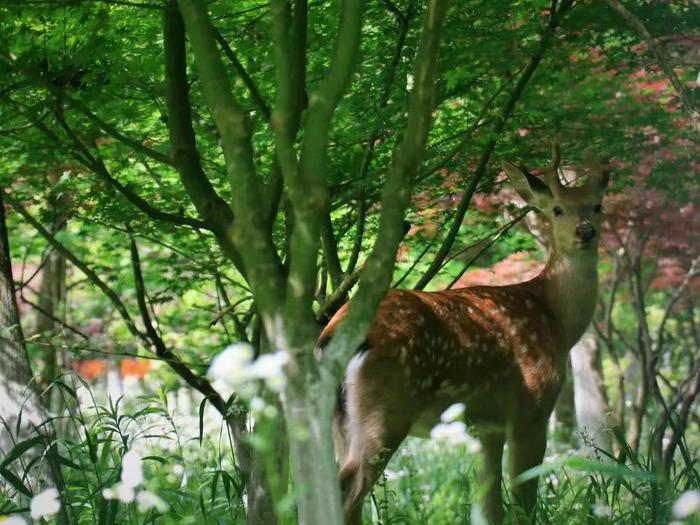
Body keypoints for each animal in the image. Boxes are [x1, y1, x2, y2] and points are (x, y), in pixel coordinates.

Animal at [318, 144, 612, 524]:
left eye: (598, 205)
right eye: (557, 209)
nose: (585, 231)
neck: (556, 322)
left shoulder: (486, 427)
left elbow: (489, 507)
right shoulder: (531, 406)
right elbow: (523, 500)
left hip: (334, 418)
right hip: (388, 404)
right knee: (347, 490)